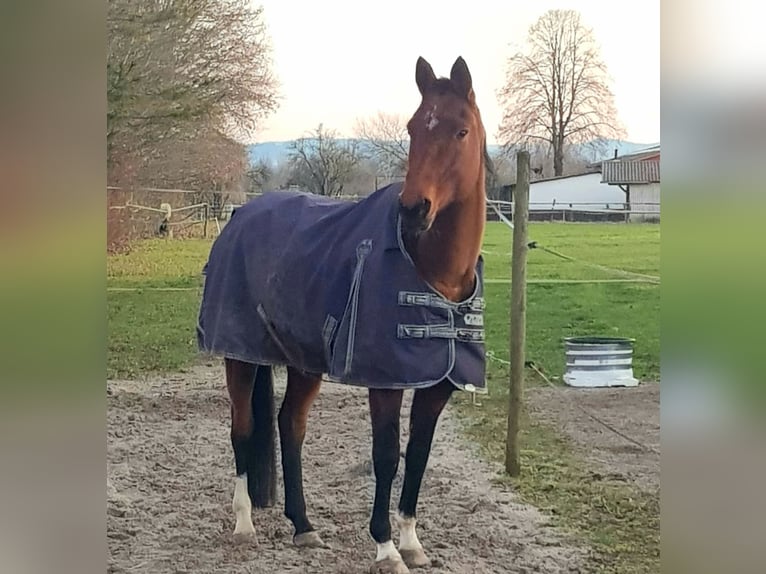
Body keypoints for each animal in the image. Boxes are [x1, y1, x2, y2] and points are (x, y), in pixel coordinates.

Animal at [196, 55, 486, 574]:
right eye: (414, 127)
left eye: (461, 130)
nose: (414, 209)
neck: (434, 272)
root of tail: (240, 216)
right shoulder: (384, 383)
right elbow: (387, 455)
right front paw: (386, 548)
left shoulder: (437, 386)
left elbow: (418, 455)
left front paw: (412, 542)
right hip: (240, 356)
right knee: (242, 428)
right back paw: (245, 524)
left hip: (304, 362)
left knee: (290, 425)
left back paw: (303, 526)